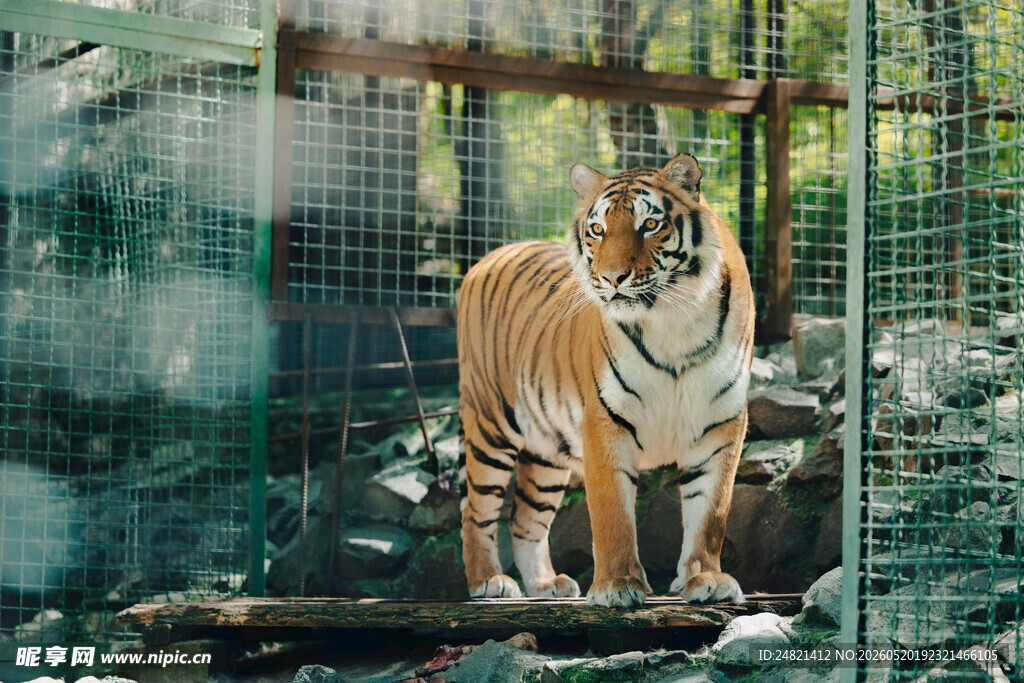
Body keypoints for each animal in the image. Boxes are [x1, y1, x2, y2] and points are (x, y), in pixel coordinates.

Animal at [456, 153, 754, 608]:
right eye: (598, 229)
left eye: (650, 224)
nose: (613, 278)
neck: (674, 321)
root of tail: (490, 256)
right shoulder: (605, 420)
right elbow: (612, 513)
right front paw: (617, 586)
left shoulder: (721, 423)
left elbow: (711, 512)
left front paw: (707, 579)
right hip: (491, 425)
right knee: (475, 511)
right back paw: (489, 582)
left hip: (546, 452)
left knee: (525, 519)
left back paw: (544, 585)